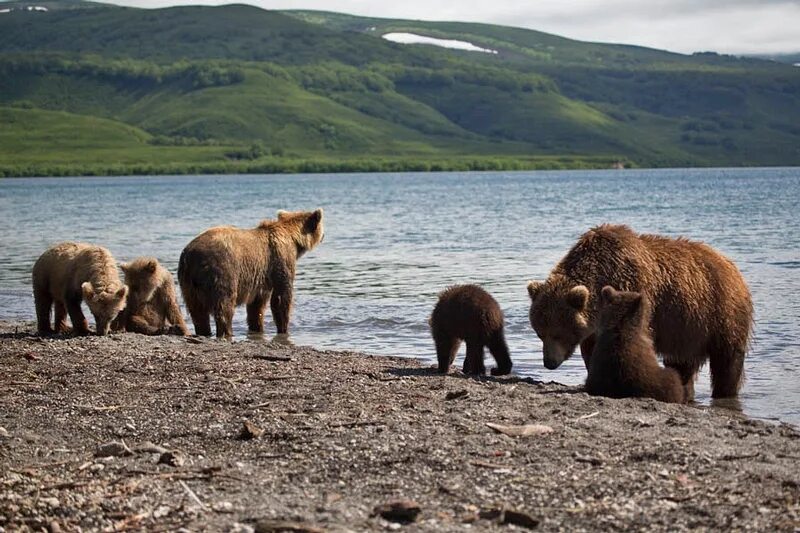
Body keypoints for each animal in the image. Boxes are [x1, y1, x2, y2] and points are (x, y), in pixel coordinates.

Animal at [178, 209, 324, 338]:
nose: (323, 236)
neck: (293, 239)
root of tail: (189, 255)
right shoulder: (280, 258)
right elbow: (281, 297)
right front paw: (283, 329)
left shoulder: (261, 277)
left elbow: (257, 305)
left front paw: (257, 327)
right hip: (222, 270)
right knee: (225, 304)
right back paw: (226, 332)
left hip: (189, 283)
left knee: (197, 311)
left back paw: (204, 332)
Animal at [527, 224, 753, 399]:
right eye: (540, 333)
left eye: (558, 333)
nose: (549, 362)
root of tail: (731, 266)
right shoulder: (594, 324)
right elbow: (591, 349)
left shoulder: (637, 289)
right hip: (688, 330)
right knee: (683, 363)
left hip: (721, 313)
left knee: (727, 361)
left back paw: (724, 392)